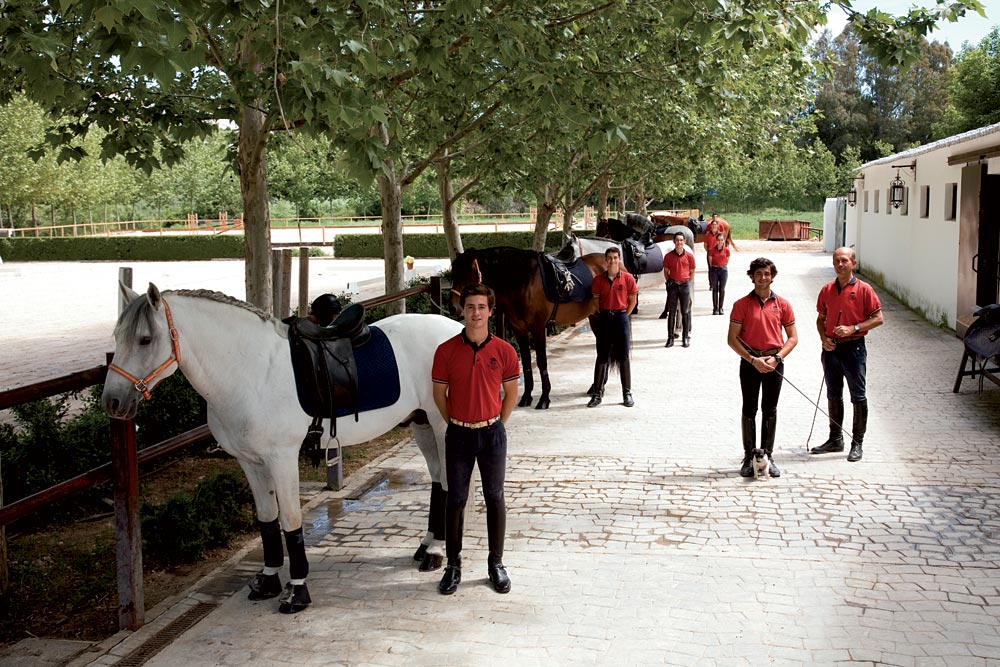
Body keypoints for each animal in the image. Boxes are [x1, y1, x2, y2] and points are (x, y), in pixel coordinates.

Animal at [101, 284, 460, 612]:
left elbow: (290, 519)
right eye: (117, 336)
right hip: (421, 424)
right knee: (437, 481)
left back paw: (436, 553)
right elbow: (267, 520)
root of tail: (453, 330)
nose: (113, 402)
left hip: (442, 428)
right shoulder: (250, 462)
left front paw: (297, 589)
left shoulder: (282, 458)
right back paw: (427, 546)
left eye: (145, 339)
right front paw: (269, 580)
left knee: (447, 483)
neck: (250, 371)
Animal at [450, 247, 604, 410]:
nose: (453, 307)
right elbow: (526, 362)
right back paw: (596, 389)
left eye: (468, 275)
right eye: (453, 274)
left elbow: (542, 362)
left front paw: (544, 398)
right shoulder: (520, 330)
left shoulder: (538, 328)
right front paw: (526, 397)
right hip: (596, 318)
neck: (524, 281)